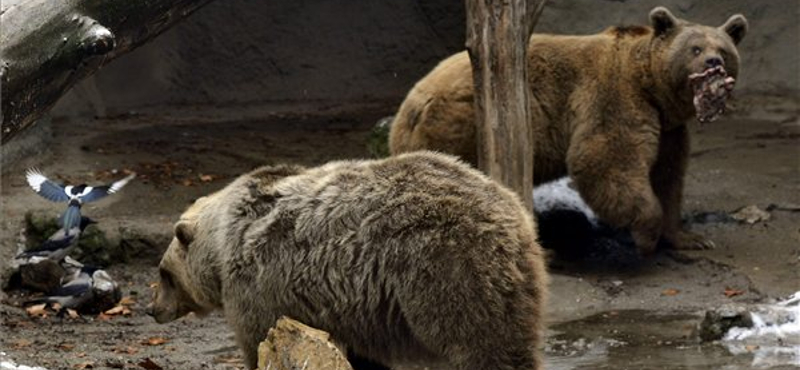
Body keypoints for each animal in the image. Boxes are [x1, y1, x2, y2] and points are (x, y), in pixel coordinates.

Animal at [147, 151, 552, 370]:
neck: (219, 247)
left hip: (442, 266)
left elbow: (257, 339)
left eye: (164, 275)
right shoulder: (352, 310)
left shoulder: (258, 287)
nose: (153, 309)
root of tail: (509, 210)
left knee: (480, 343)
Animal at [390, 6, 748, 254]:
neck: (651, 86)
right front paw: (647, 233)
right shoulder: (615, 97)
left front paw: (690, 237)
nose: (714, 62)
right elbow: (606, 159)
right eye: (695, 49)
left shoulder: (669, 129)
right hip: (459, 124)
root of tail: (408, 108)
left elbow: (668, 176)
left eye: (723, 49)